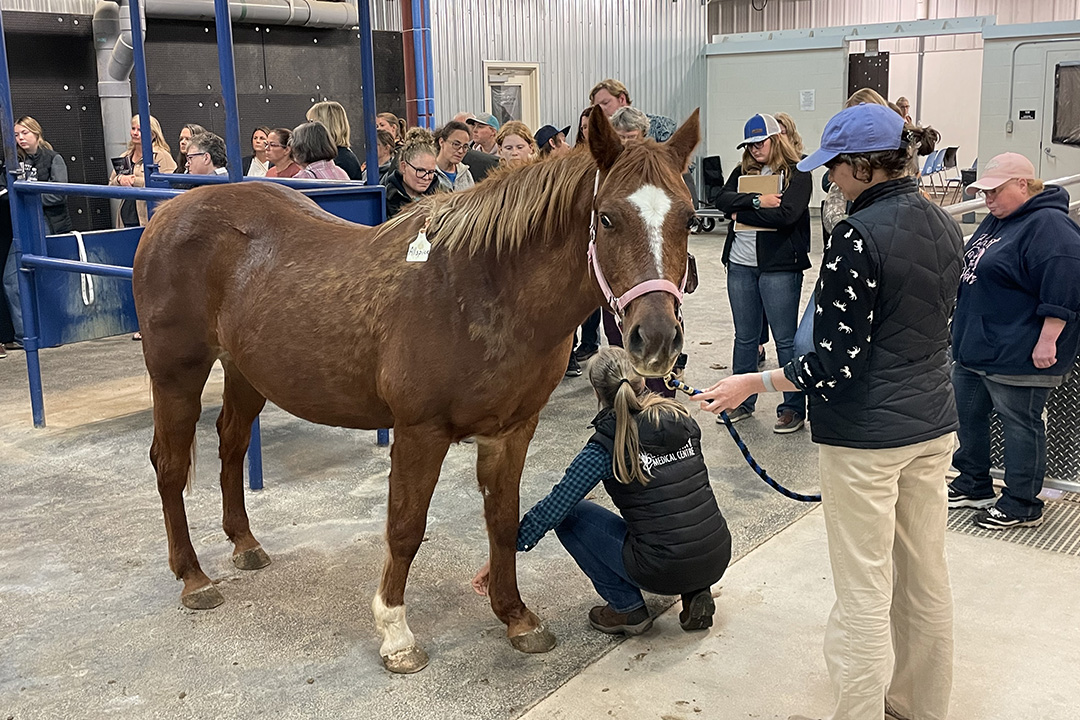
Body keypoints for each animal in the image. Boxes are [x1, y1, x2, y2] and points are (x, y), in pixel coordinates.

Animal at [132, 107, 700, 673]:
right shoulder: (419, 433)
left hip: (246, 373)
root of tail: (168, 212)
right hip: (177, 373)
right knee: (170, 465)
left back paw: (245, 544)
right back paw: (194, 578)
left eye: (689, 218)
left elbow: (503, 520)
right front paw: (396, 633)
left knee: (231, 443)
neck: (482, 287)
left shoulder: (512, 430)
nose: (656, 338)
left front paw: (516, 617)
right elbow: (405, 527)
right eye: (607, 218)